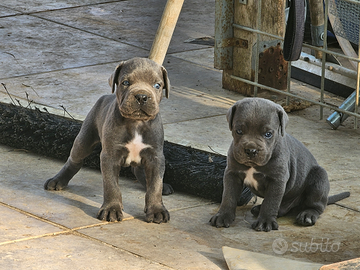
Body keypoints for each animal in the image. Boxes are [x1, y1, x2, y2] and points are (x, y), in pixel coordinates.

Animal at [44, 58, 173, 225]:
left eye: (157, 85)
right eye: (125, 82)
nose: (141, 96)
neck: (136, 123)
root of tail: (105, 96)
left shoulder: (155, 156)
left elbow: (155, 185)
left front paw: (157, 209)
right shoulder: (110, 156)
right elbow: (111, 185)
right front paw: (112, 209)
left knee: (139, 171)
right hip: (84, 140)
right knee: (74, 161)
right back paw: (57, 180)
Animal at [211, 98, 348, 231]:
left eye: (268, 134)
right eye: (238, 131)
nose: (251, 150)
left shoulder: (277, 180)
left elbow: (270, 202)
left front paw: (265, 221)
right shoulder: (232, 174)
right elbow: (228, 196)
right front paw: (223, 216)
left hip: (319, 178)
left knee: (316, 206)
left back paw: (307, 215)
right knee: (282, 209)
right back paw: (259, 209)